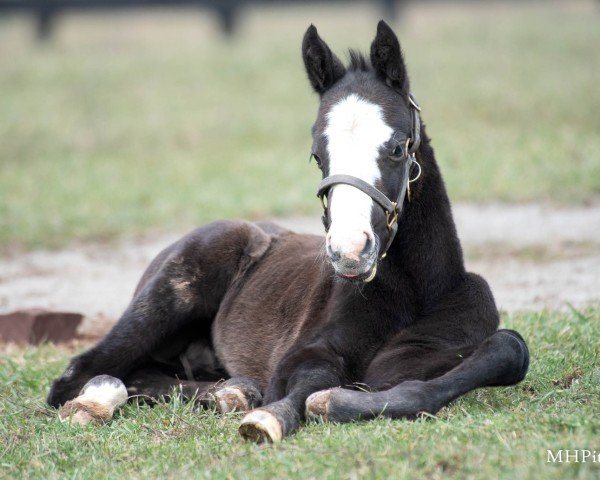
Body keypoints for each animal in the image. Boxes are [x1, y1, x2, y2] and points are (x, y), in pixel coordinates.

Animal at [47, 21, 528, 442]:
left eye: (396, 148)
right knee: (79, 375)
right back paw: (97, 403)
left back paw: (232, 392)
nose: (349, 251)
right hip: (167, 300)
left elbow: (507, 350)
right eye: (317, 155)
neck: (416, 292)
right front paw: (274, 417)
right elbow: (306, 382)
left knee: (148, 375)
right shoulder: (307, 351)